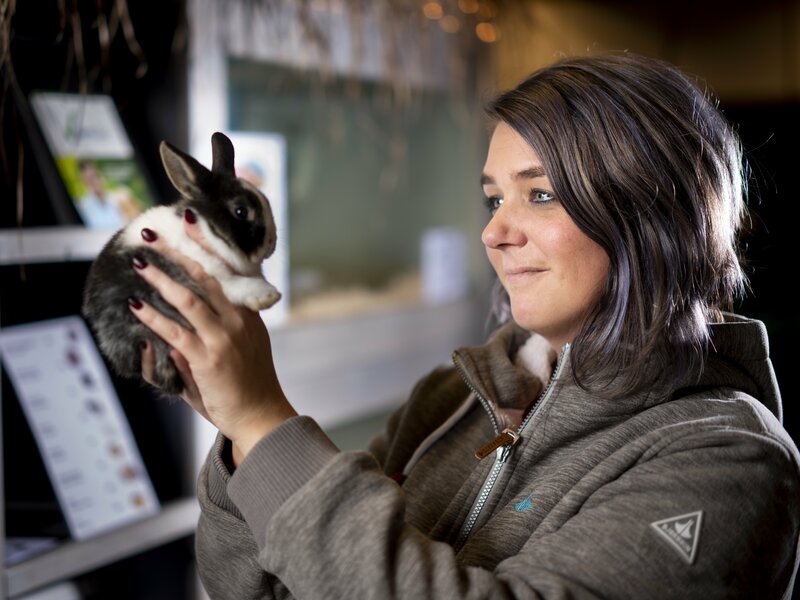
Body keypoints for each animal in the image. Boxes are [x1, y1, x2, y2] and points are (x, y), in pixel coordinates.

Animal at [81, 130, 282, 398]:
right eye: (241, 211)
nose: (271, 242)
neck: (208, 231)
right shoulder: (211, 272)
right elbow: (235, 284)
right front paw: (268, 296)